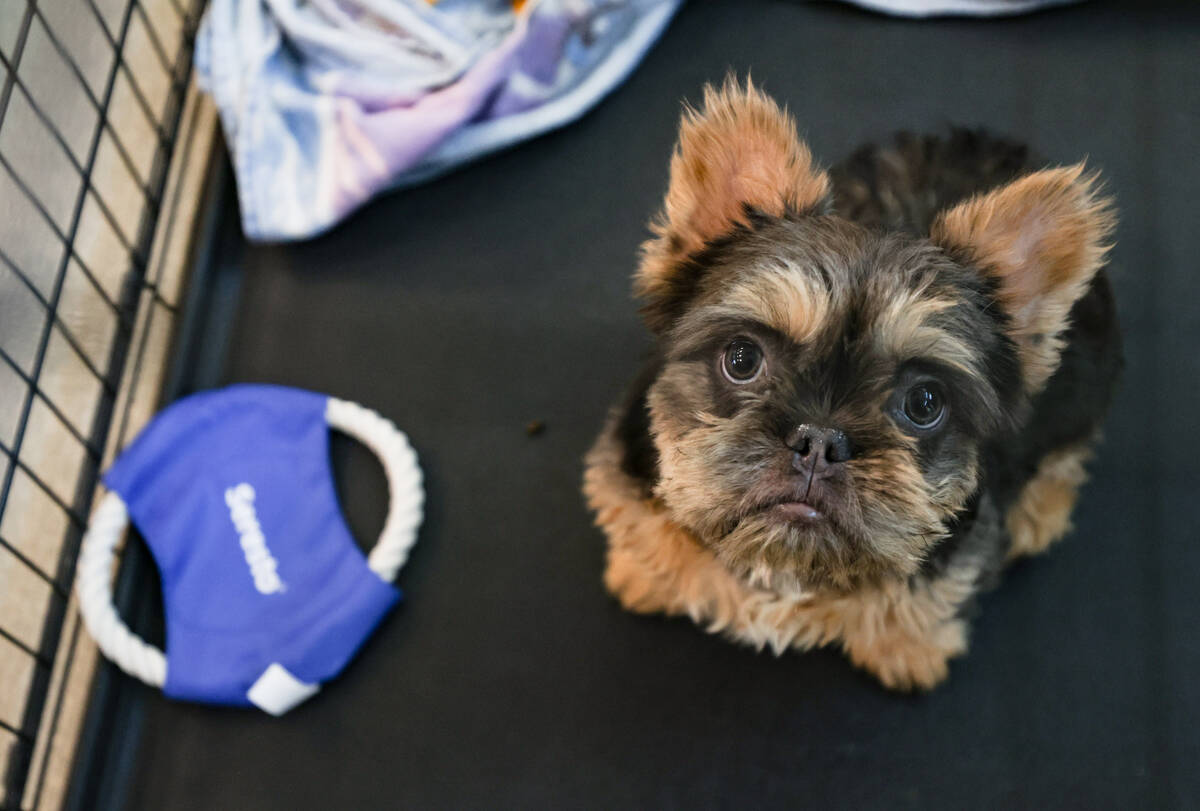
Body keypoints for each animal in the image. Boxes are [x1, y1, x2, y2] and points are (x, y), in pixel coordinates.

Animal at [585, 79, 1118, 691]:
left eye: (924, 402)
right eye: (742, 359)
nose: (819, 440)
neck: (786, 564)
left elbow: (919, 597)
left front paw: (906, 649)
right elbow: (648, 527)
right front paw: (649, 573)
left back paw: (1041, 511)